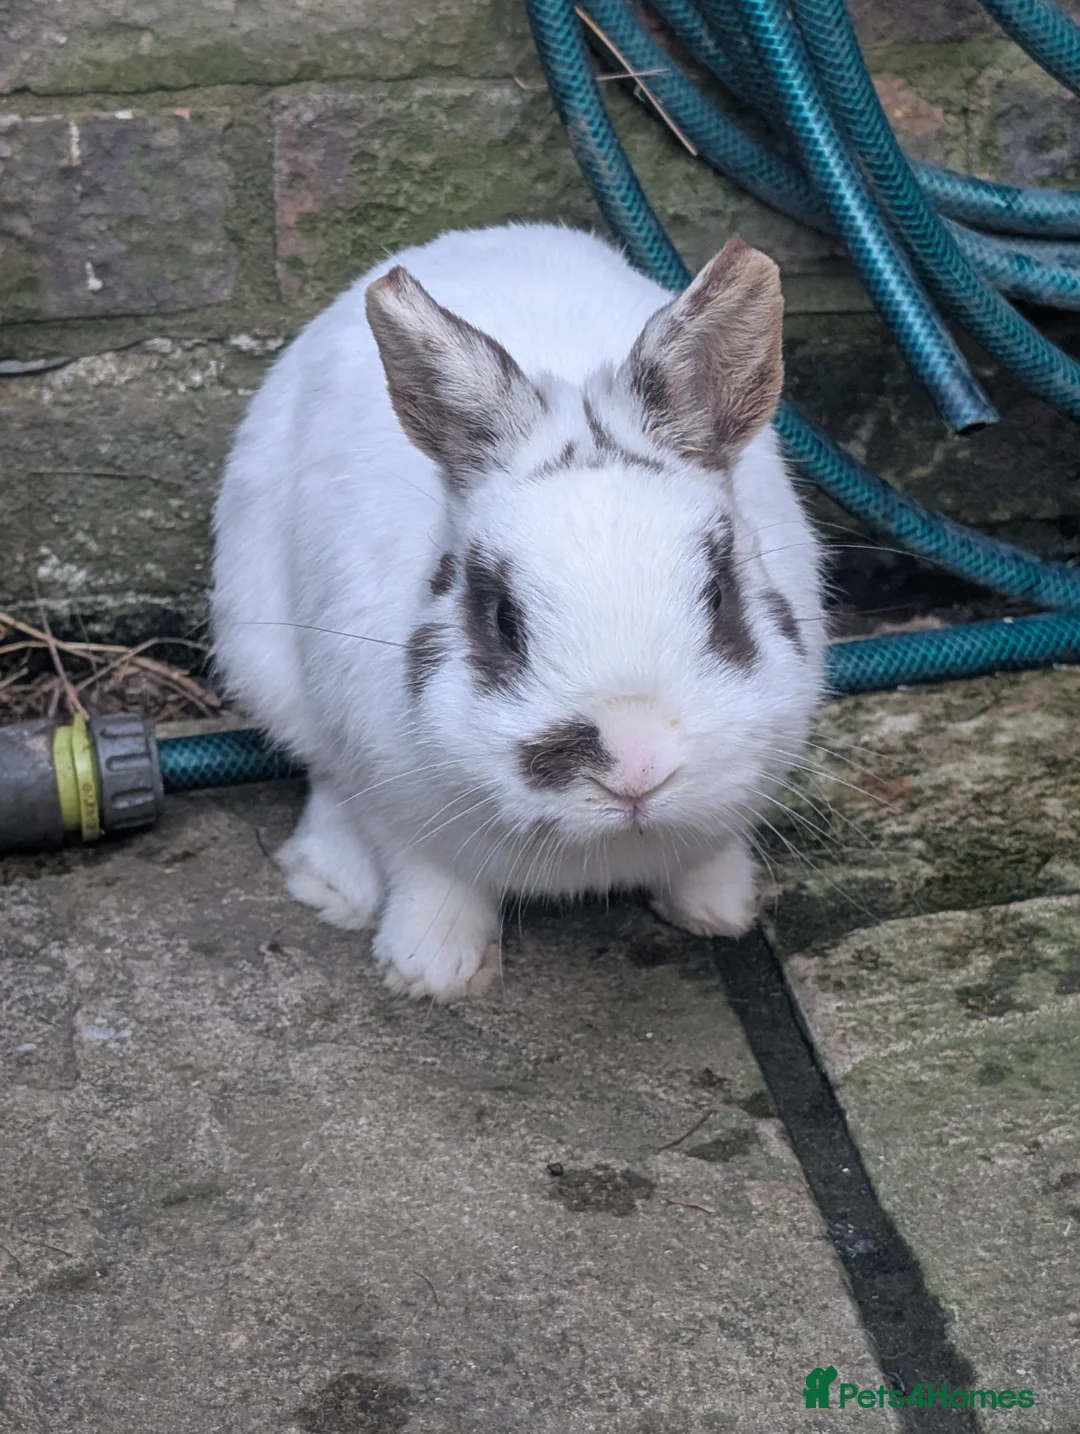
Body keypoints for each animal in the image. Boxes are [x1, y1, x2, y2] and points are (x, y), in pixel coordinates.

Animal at [211, 221, 827, 1001]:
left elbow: (707, 856)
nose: (635, 768)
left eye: (719, 596)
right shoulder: (396, 802)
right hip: (265, 660)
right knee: (321, 775)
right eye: (504, 619)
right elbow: (428, 878)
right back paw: (335, 887)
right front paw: (430, 971)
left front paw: (722, 911)